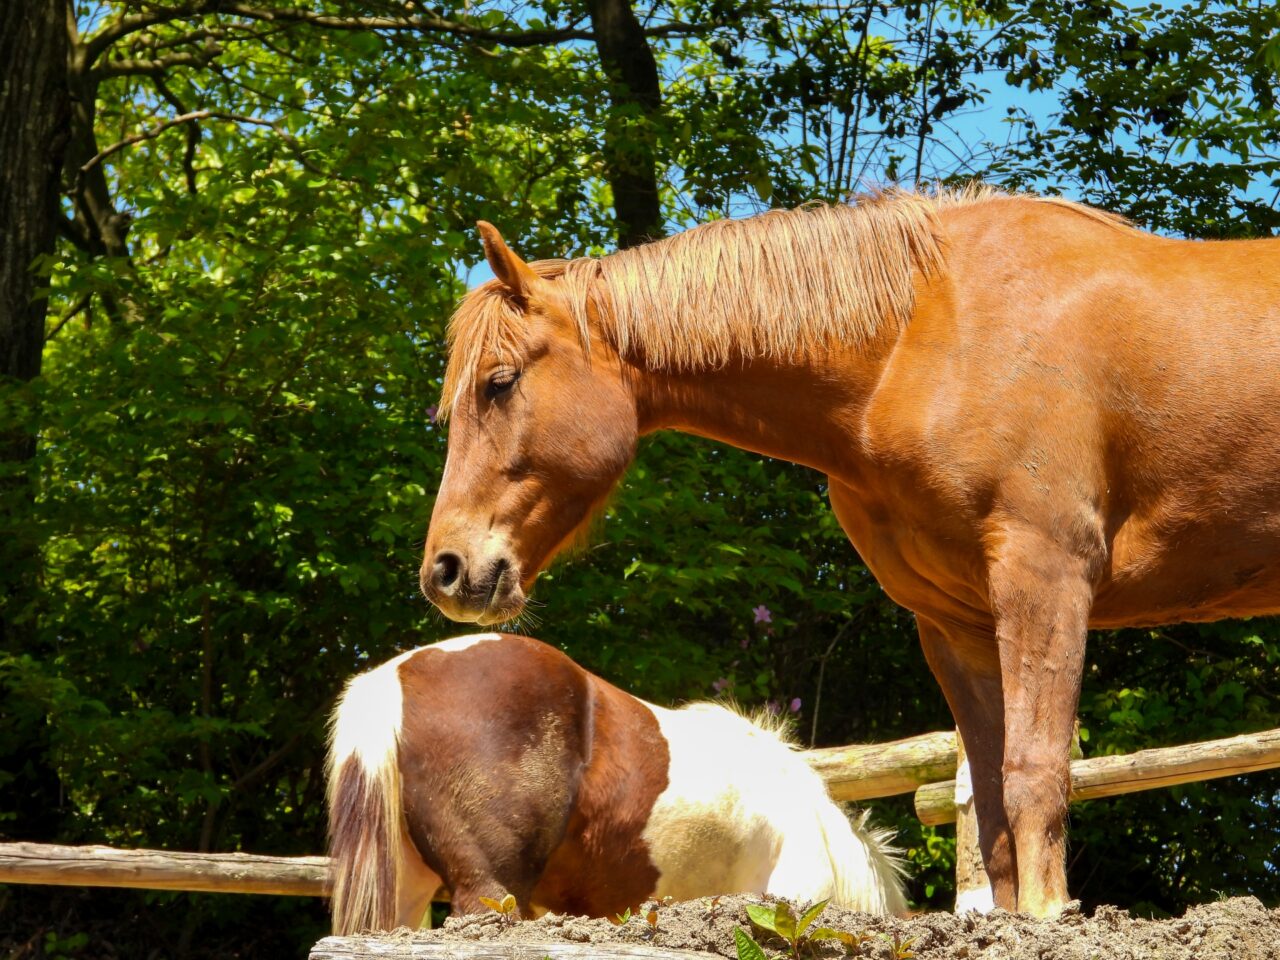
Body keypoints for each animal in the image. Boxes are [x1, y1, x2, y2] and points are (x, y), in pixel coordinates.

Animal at [417, 187, 1280, 917]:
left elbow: (1036, 774)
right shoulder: (956, 622)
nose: (448, 571)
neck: (928, 335)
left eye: (499, 382)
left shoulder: (1048, 578)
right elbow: (992, 796)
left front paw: (1047, 914)